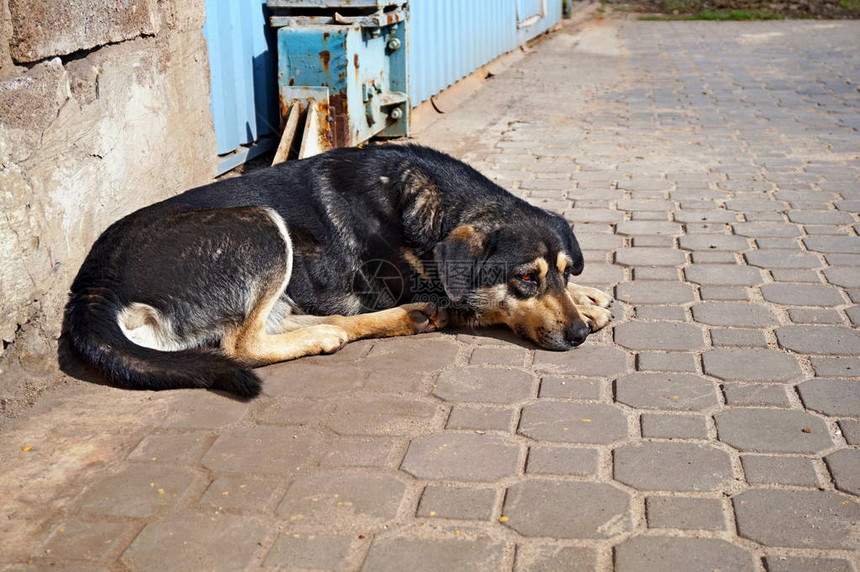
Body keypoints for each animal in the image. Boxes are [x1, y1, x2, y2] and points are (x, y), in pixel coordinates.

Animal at [65, 145, 612, 400]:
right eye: (525, 279)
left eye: (562, 271)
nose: (579, 336)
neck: (436, 206)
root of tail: (91, 284)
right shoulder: (445, 289)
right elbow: (489, 306)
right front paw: (587, 308)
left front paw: (589, 295)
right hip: (261, 224)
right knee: (241, 344)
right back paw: (339, 333)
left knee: (296, 321)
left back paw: (377, 323)